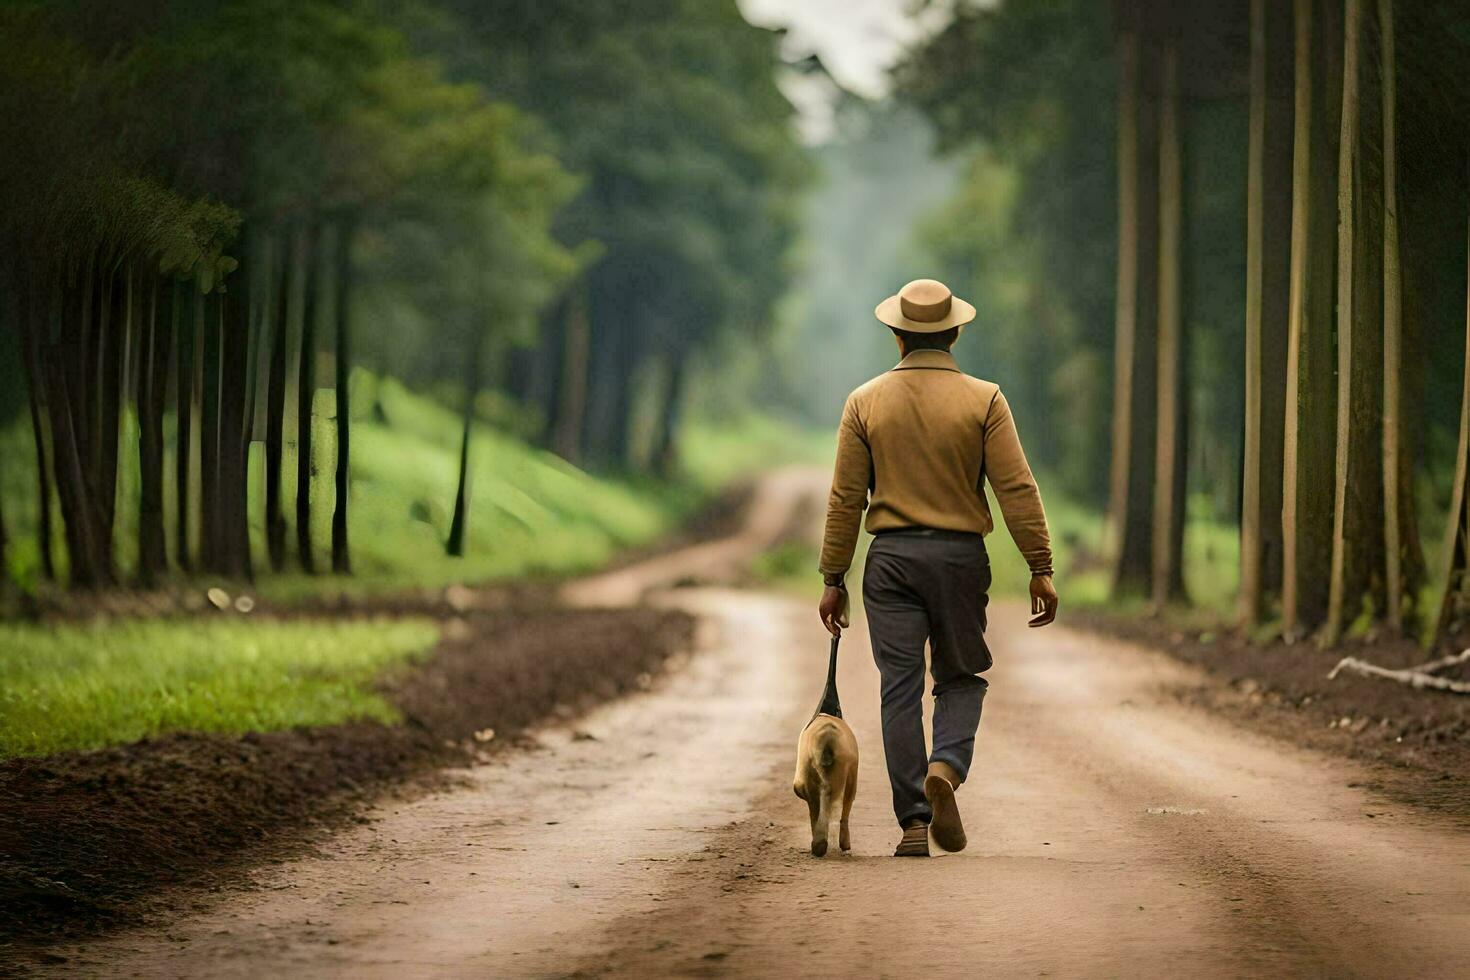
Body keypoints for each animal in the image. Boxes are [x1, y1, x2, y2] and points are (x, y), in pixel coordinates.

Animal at [793, 714, 858, 858]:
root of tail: (828, 736)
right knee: (837, 803)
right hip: (847, 775)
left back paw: (819, 843)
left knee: (819, 803)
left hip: (808, 777)